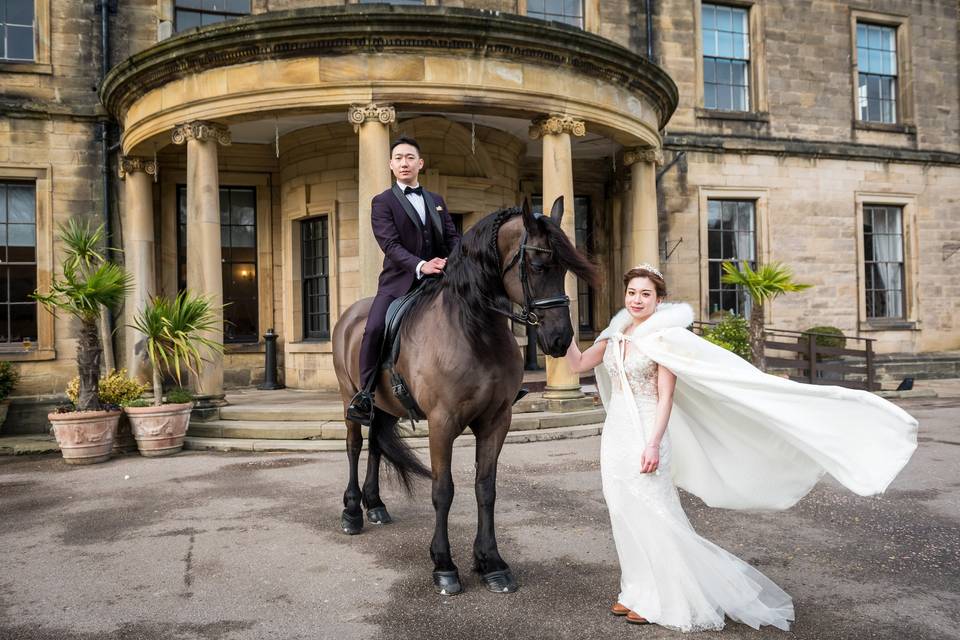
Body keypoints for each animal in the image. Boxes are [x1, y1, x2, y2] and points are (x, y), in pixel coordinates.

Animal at [334, 199, 596, 596]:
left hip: (386, 405)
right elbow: (443, 490)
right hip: (351, 398)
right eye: (537, 266)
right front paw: (444, 565)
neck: (476, 331)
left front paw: (491, 562)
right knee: (354, 446)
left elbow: (485, 488)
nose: (560, 340)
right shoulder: (442, 424)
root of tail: (351, 313)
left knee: (377, 445)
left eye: (565, 267)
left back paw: (375, 505)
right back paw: (352, 512)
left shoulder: (496, 421)